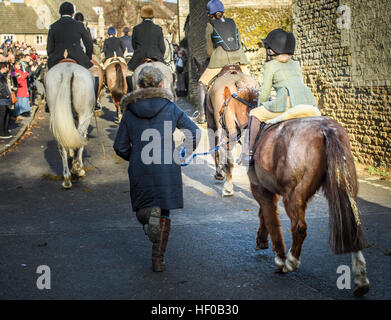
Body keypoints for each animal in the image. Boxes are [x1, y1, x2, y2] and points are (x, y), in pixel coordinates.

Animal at [220, 85, 370, 298]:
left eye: (222, 110)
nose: (224, 136)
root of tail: (326, 130)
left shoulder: (260, 189)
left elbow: (271, 219)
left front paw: (279, 257)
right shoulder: (269, 188)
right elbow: (265, 214)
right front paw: (262, 240)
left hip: (293, 196)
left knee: (299, 228)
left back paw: (291, 261)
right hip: (343, 190)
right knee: (352, 225)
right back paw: (360, 279)